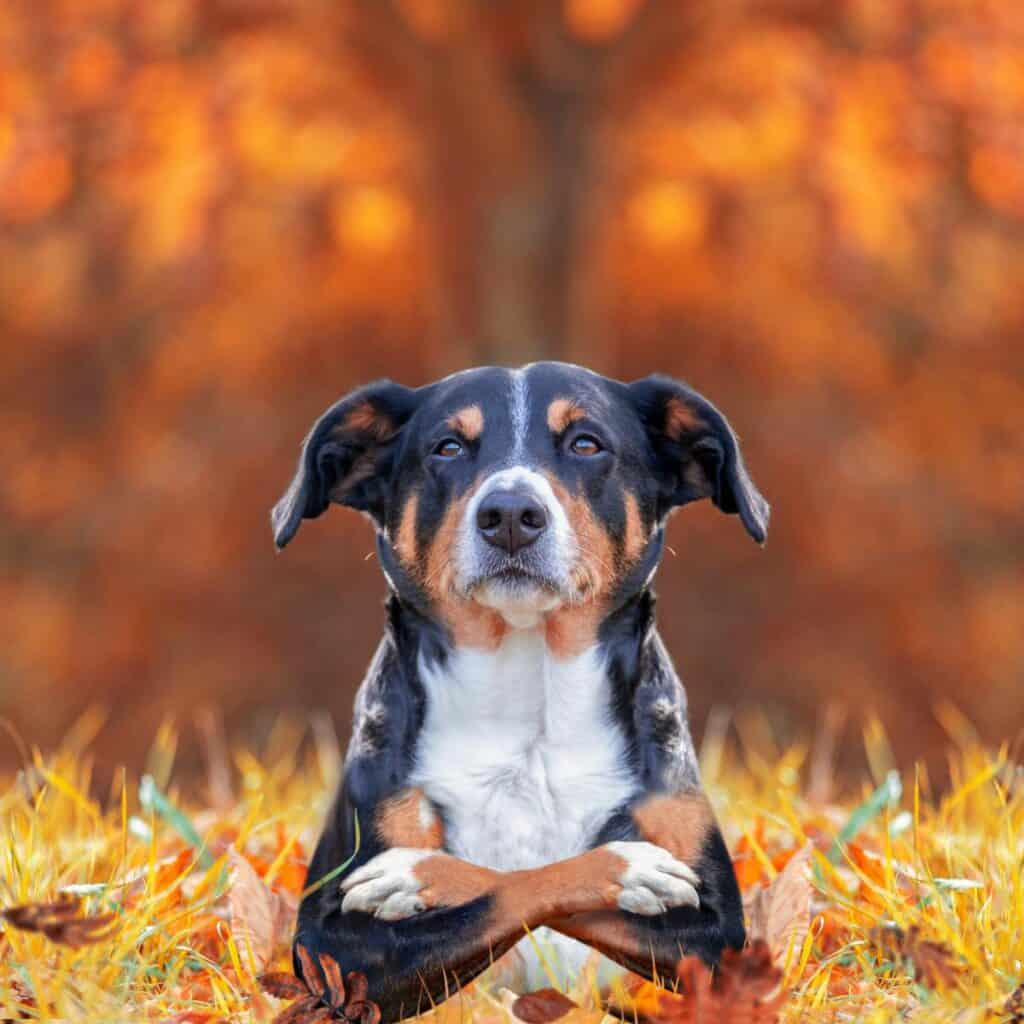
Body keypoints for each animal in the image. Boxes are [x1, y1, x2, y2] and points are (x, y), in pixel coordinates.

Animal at [272, 364, 770, 1019]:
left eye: (586, 443)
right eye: (448, 447)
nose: (510, 512)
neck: (525, 704)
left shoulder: (719, 935)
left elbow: (537, 882)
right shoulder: (330, 945)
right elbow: (503, 886)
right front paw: (416, 875)